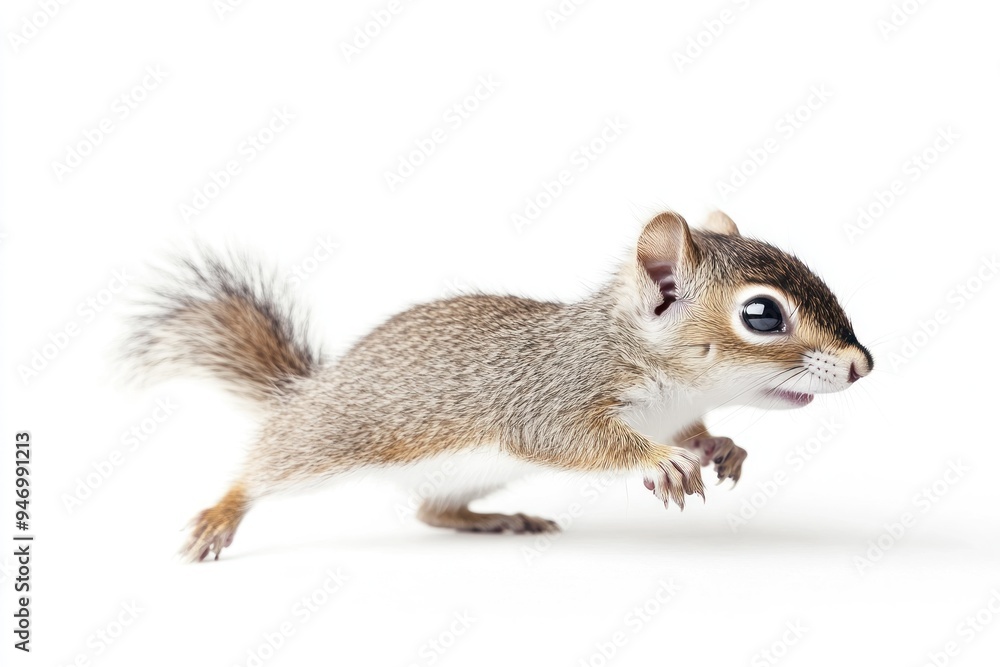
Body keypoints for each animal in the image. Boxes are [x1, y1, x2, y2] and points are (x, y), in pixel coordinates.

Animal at [124, 210, 873, 561]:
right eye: (761, 314)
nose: (863, 364)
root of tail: (311, 389)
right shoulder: (552, 394)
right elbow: (578, 438)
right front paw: (662, 462)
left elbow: (700, 432)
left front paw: (721, 447)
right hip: (325, 441)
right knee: (265, 469)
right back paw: (222, 513)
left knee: (433, 513)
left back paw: (496, 518)